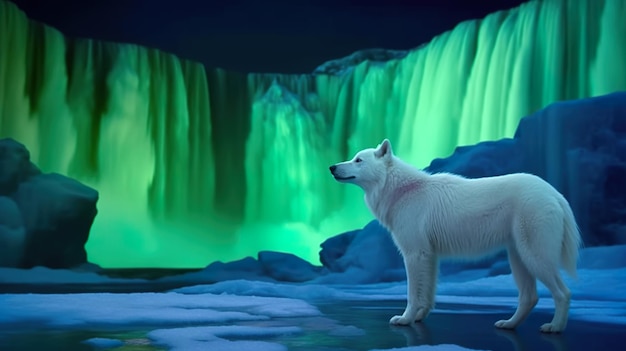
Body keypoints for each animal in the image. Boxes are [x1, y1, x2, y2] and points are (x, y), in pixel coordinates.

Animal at [330, 140, 576, 332]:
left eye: (358, 160)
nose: (332, 167)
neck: (401, 190)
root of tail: (555, 193)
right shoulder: (429, 255)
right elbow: (428, 293)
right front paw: (419, 317)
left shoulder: (414, 254)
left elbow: (412, 293)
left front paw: (405, 319)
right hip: (518, 256)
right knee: (529, 297)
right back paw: (508, 324)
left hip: (534, 255)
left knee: (563, 293)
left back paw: (555, 327)